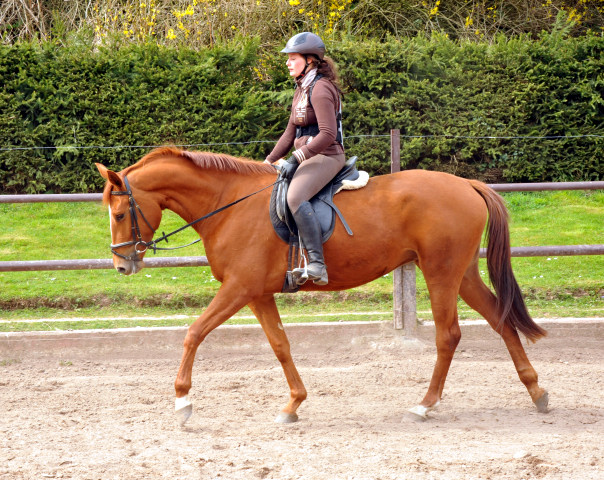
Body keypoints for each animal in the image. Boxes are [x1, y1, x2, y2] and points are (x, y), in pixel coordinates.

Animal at [95, 146, 548, 424]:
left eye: (118, 214)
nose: (120, 264)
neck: (228, 204)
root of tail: (467, 183)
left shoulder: (238, 289)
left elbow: (194, 332)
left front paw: (183, 401)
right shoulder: (258, 293)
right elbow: (280, 345)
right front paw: (293, 404)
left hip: (441, 273)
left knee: (448, 335)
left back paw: (424, 405)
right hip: (461, 274)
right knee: (501, 320)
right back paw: (536, 392)